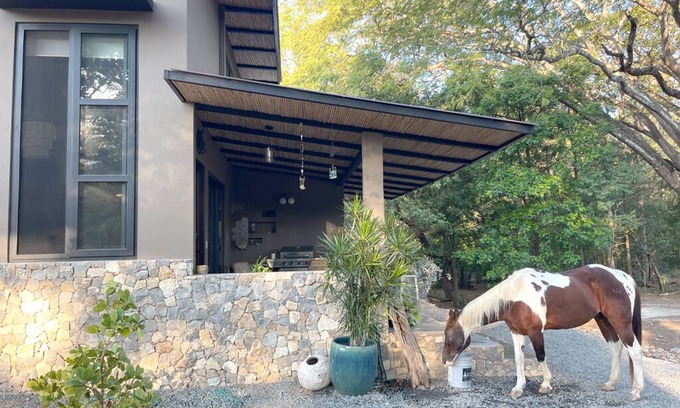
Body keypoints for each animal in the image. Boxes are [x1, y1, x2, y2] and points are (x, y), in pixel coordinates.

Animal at [442, 264, 643, 401]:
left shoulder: (535, 331)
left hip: (621, 323)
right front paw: (518, 388)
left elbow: (540, 356)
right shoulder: (516, 332)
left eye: (446, 333)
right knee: (616, 349)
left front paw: (546, 385)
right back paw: (610, 383)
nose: (445, 361)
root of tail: (622, 276)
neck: (515, 295)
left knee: (635, 351)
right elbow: (519, 359)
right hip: (603, 320)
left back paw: (636, 391)